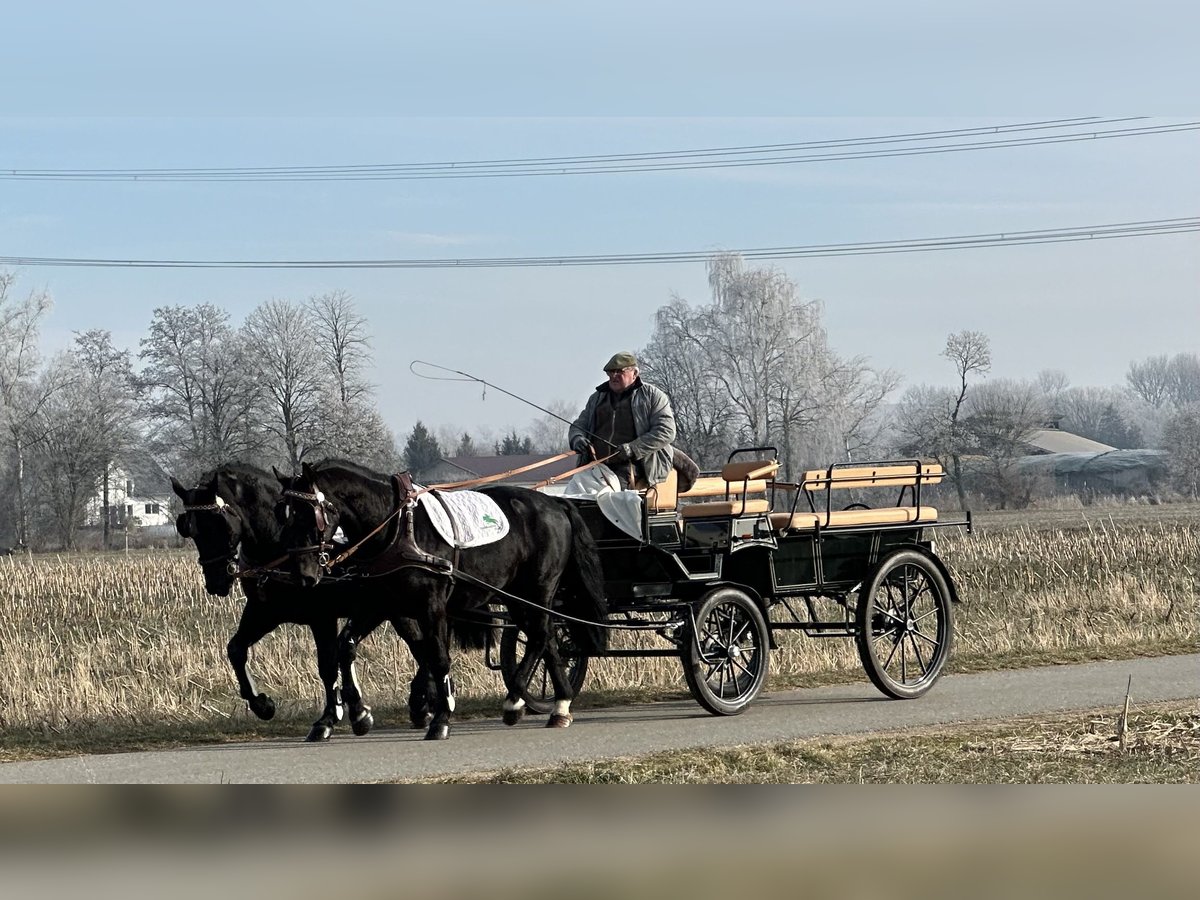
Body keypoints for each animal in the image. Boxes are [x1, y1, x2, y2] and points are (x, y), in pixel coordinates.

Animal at [170, 465, 487, 739]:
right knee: (422, 649)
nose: (216, 581)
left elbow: (328, 663)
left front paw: (344, 714)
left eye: (220, 523)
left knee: (425, 649)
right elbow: (236, 649)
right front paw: (262, 704)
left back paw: (427, 702)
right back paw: (425, 703)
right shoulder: (265, 611)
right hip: (400, 610)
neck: (280, 547)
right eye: (189, 528)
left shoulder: (323, 615)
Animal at [276, 460, 604, 744]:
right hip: (518, 597)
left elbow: (438, 657)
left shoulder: (431, 607)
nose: (303, 574)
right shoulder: (380, 606)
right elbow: (346, 646)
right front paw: (360, 715)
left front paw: (441, 718)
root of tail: (555, 503)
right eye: (283, 514)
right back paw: (559, 705)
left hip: (537, 589)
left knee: (539, 635)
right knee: (546, 638)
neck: (396, 528)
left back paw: (515, 700)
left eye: (308, 513)